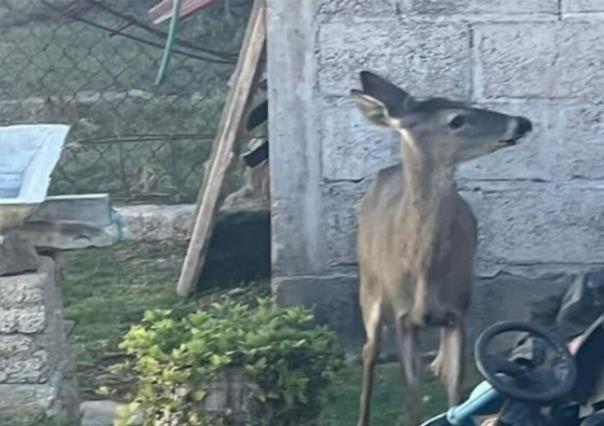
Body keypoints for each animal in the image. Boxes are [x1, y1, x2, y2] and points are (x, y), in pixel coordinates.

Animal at [350, 70, 532, 426]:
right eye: (456, 119)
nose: (522, 122)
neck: (423, 270)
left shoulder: (458, 312)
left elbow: (455, 395)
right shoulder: (402, 319)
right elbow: (412, 404)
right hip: (369, 286)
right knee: (369, 350)